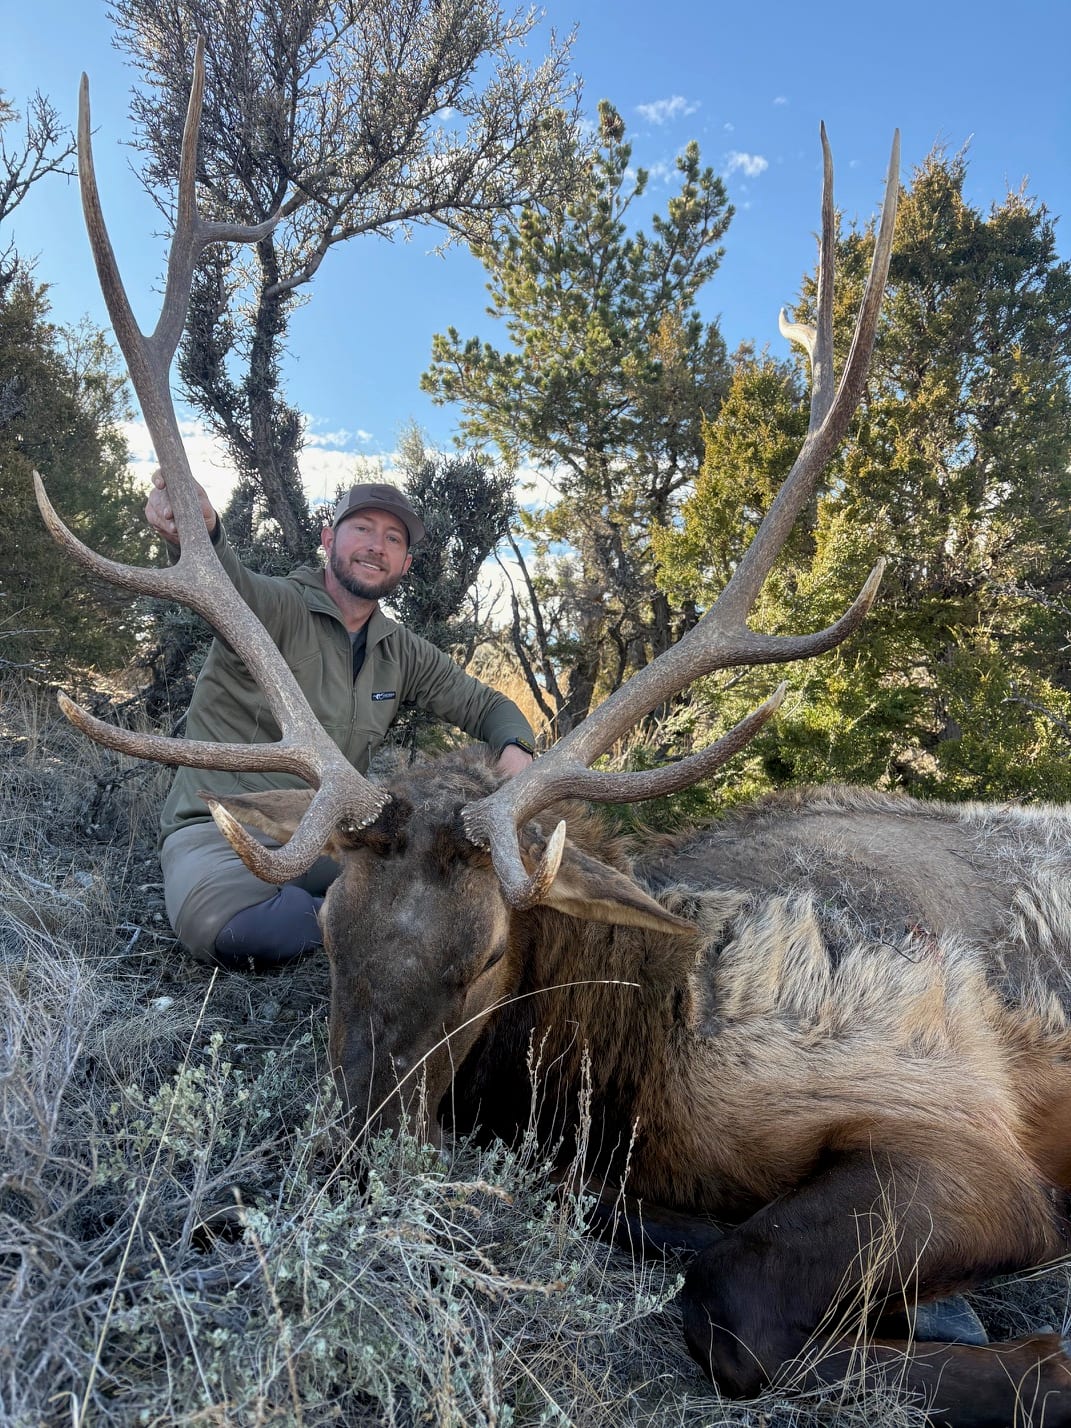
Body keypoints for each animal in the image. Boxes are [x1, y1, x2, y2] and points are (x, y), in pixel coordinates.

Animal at [34, 41, 1071, 1428]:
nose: (356, 1160)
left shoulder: (965, 1139)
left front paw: (1034, 1359)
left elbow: (732, 1305)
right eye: (327, 928)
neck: (637, 1063)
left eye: (485, 958)